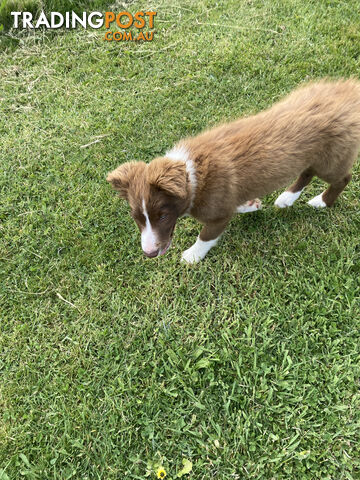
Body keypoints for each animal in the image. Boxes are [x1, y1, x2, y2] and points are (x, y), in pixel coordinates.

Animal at [107, 80, 360, 264]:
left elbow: (206, 235)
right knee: (306, 172)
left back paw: (322, 202)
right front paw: (249, 204)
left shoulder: (217, 215)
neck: (192, 174)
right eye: (137, 218)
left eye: (163, 216)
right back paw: (287, 198)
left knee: (342, 178)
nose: (149, 253)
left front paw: (192, 256)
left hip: (331, 159)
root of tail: (349, 91)